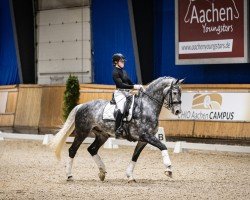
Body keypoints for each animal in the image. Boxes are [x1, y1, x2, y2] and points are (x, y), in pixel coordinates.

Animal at [49, 77, 183, 183]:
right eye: (175, 92)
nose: (178, 111)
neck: (146, 107)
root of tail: (81, 106)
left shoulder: (143, 140)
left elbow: (135, 156)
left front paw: (130, 176)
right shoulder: (146, 136)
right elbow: (163, 146)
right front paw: (168, 169)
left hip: (102, 135)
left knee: (92, 149)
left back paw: (102, 172)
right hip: (82, 132)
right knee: (73, 150)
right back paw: (69, 176)